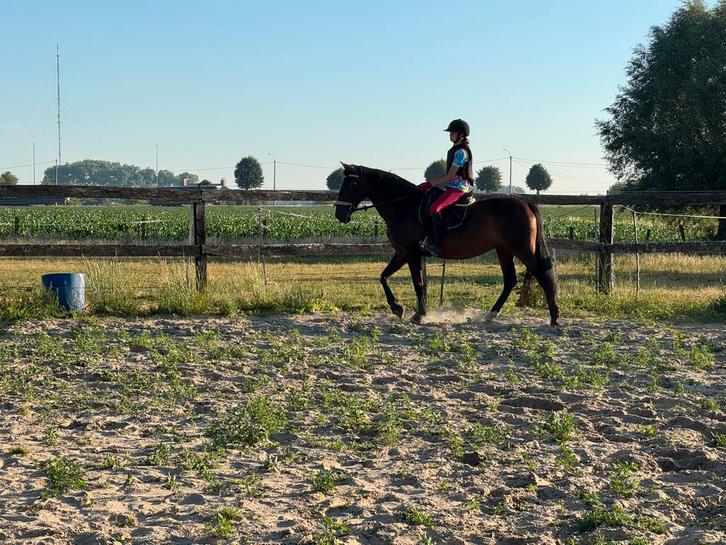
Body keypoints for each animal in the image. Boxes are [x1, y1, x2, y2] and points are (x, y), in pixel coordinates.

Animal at [334, 163, 560, 325]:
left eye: (349, 185)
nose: (339, 215)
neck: (404, 205)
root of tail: (525, 203)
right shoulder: (402, 253)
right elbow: (385, 277)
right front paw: (399, 308)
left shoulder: (411, 253)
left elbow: (417, 283)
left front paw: (418, 315)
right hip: (504, 249)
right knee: (511, 280)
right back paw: (491, 315)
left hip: (522, 249)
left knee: (542, 274)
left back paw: (554, 316)